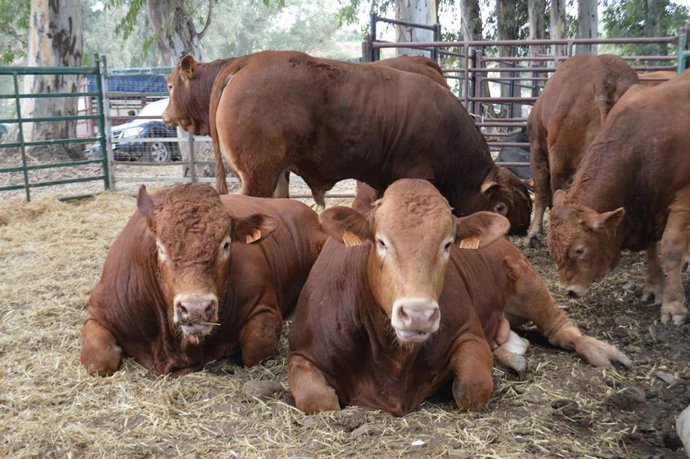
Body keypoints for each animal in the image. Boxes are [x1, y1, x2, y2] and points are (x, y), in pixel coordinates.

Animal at [80, 183, 326, 376]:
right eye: (161, 247)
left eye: (226, 244)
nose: (196, 308)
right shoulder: (99, 312)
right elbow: (99, 361)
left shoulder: (264, 308)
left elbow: (255, 348)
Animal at [206, 50, 531, 235]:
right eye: (501, 207)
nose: (523, 227)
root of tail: (250, 61)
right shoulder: (417, 175)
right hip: (258, 175)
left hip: (275, 175)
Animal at [288, 179, 630, 416]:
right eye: (381, 242)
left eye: (448, 244)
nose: (419, 315)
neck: (392, 358)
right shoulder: (302, 354)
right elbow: (319, 401)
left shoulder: (469, 334)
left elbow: (471, 389)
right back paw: (513, 354)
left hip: (527, 280)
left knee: (560, 328)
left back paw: (601, 351)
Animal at [524, 55, 639, 247]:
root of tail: (603, 78)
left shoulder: (537, 147)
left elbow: (541, 191)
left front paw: (533, 234)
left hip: (561, 159)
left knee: (558, 187)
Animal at [548, 69, 690, 325]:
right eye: (552, 246)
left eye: (580, 250)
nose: (569, 290)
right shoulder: (647, 207)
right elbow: (652, 247)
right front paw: (654, 286)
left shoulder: (683, 201)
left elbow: (671, 248)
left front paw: (674, 305)